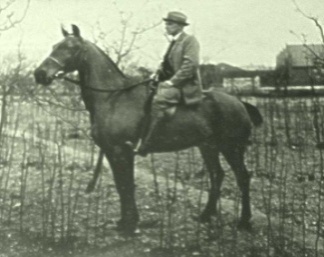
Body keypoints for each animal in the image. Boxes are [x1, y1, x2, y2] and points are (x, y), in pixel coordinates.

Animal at [34, 25, 262, 233]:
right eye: (54, 46)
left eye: (70, 47)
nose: (39, 74)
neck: (113, 97)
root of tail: (240, 102)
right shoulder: (112, 152)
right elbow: (121, 185)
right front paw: (125, 221)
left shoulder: (121, 151)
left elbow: (127, 185)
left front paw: (129, 224)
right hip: (208, 146)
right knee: (217, 175)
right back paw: (206, 215)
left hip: (232, 148)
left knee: (242, 177)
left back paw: (244, 221)